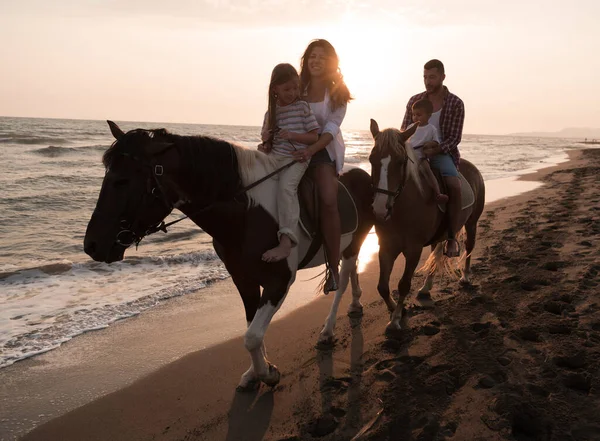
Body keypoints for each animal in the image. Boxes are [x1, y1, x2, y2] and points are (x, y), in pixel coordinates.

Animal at [84, 121, 376, 388]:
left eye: (122, 180)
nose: (92, 245)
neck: (246, 213)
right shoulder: (242, 277)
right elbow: (250, 326)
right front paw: (258, 370)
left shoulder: (280, 280)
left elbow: (251, 336)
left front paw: (266, 374)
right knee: (353, 272)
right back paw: (355, 304)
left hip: (353, 243)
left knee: (342, 280)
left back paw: (328, 330)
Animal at [368, 120, 486, 334]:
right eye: (372, 159)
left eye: (401, 161)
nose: (380, 208)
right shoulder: (386, 247)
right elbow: (382, 286)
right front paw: (397, 311)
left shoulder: (413, 250)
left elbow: (404, 284)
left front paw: (396, 320)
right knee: (435, 253)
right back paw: (425, 288)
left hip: (472, 223)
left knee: (469, 247)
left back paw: (465, 278)